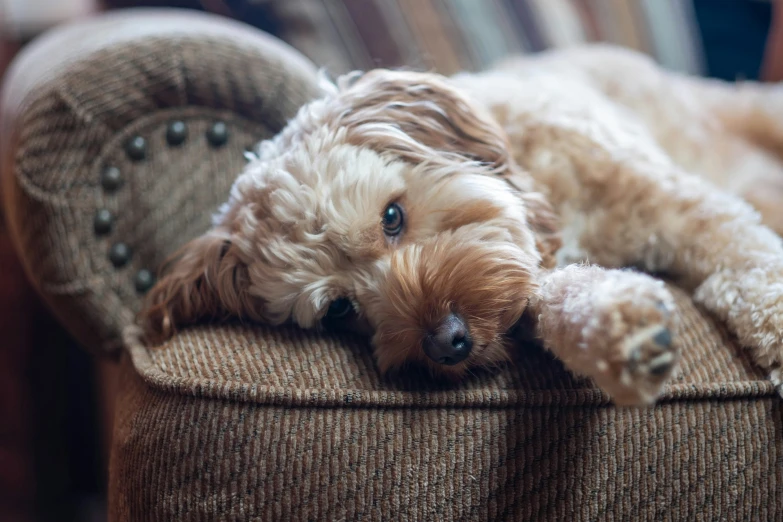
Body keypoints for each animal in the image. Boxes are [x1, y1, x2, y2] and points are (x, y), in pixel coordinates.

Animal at [139, 44, 783, 404]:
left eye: (392, 217)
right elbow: (566, 300)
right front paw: (621, 336)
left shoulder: (680, 204)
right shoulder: (532, 282)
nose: (448, 343)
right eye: (340, 310)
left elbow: (750, 262)